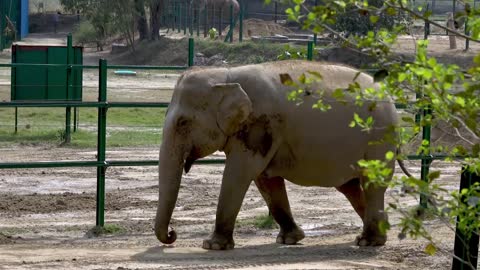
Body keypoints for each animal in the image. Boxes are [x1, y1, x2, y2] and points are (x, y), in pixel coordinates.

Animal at [156, 60, 410, 250]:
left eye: (182, 123)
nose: (172, 234)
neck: (225, 76)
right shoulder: (262, 132)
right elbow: (266, 180)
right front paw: (289, 239)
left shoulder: (260, 124)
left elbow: (239, 174)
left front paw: (212, 245)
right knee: (351, 187)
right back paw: (378, 233)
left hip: (380, 140)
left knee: (371, 185)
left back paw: (369, 241)